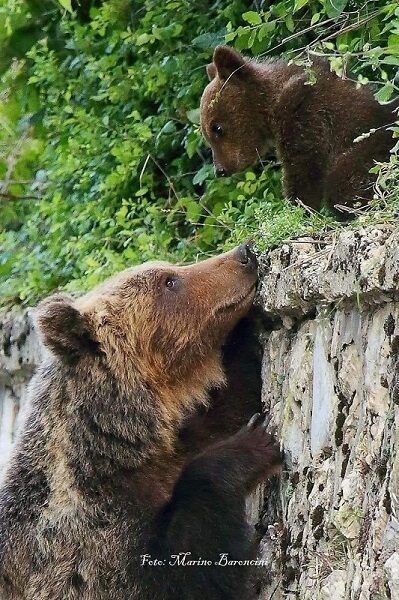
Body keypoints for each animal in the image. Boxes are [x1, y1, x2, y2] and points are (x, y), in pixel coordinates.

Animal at [0, 245, 282, 600]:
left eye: (170, 269)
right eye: (169, 281)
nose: (243, 254)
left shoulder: (172, 447)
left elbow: (228, 405)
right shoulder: (84, 546)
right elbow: (183, 569)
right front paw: (253, 442)